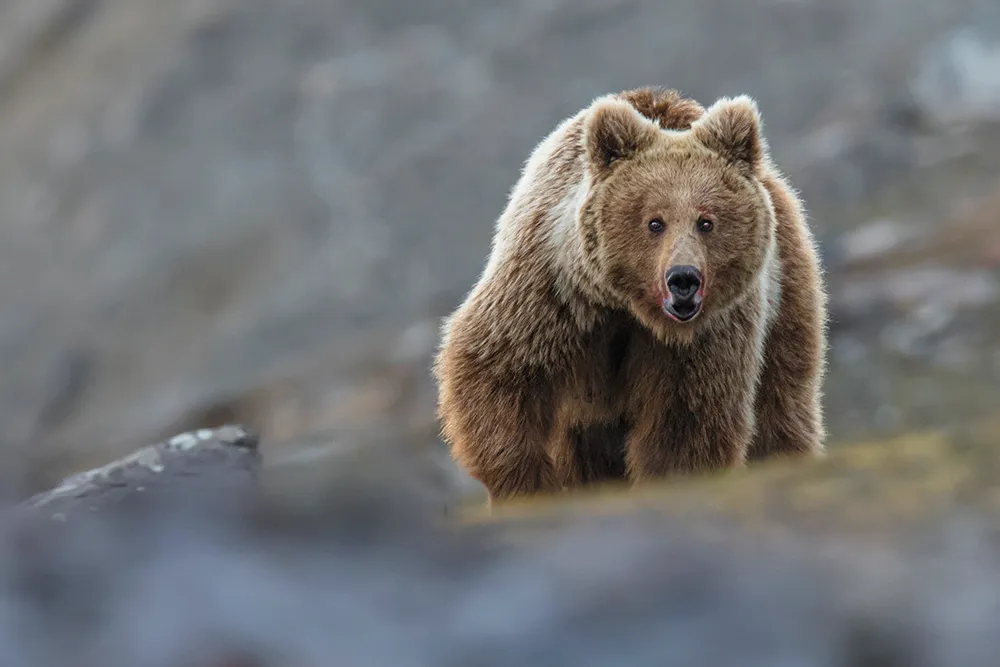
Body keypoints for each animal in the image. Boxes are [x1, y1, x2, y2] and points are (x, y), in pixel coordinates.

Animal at [433, 87, 828, 505]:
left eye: (706, 222)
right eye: (655, 222)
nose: (683, 279)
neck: (628, 308)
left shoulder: (704, 339)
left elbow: (686, 423)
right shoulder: (552, 293)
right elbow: (497, 371)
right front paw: (528, 485)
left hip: (786, 301)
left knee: (782, 405)